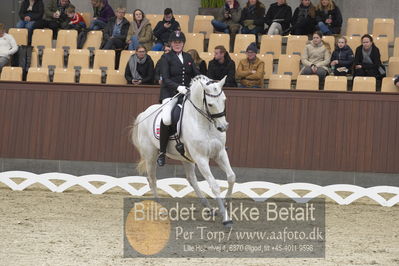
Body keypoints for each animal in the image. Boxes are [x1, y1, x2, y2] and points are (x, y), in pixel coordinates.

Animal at [131, 75, 238, 227]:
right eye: (210, 104)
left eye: (224, 100)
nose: (223, 127)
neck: (205, 123)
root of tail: (144, 113)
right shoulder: (201, 158)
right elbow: (214, 185)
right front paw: (226, 219)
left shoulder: (220, 153)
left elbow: (231, 177)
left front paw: (226, 203)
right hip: (150, 155)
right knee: (152, 179)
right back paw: (161, 208)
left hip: (186, 158)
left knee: (191, 180)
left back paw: (209, 208)